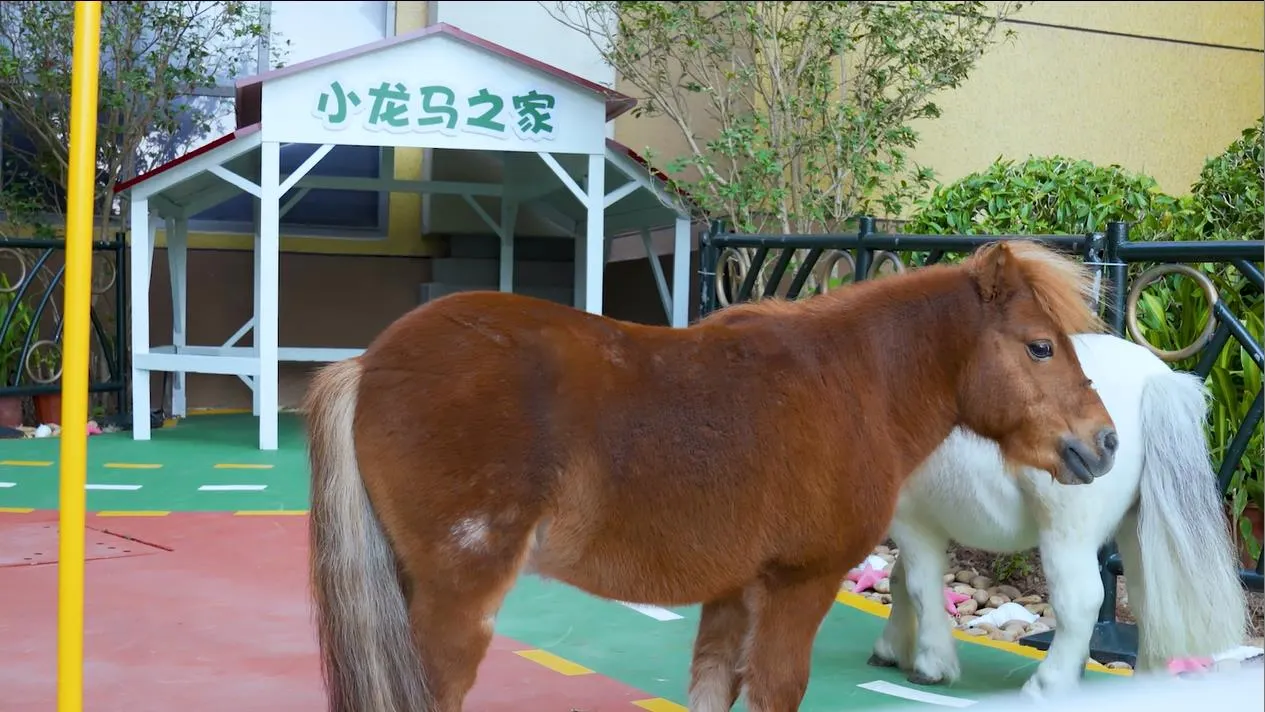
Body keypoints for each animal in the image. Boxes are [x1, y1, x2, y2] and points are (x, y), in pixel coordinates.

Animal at [302, 239, 1120, 712]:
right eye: (1040, 346)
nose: (1104, 441)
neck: (854, 381)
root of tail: (369, 364)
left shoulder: (733, 593)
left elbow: (712, 687)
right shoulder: (800, 584)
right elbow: (777, 690)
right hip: (456, 606)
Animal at [868, 332, 1249, 698]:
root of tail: (1152, 380)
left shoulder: (913, 522)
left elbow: (918, 587)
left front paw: (929, 665)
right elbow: (900, 581)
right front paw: (892, 649)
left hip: (1067, 529)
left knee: (1081, 600)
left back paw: (1046, 685)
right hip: (1137, 529)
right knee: (1150, 600)